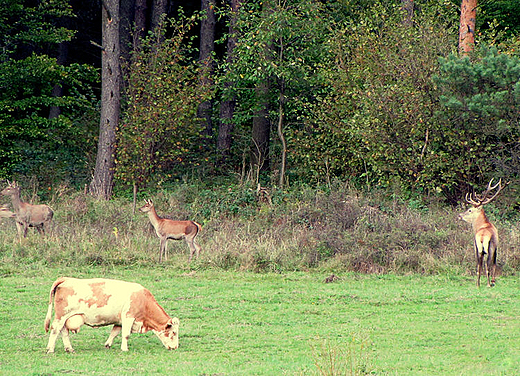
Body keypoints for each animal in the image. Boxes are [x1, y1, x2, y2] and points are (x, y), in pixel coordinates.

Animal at [43, 276, 181, 352]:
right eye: (174, 332)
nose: (175, 347)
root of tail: (66, 279)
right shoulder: (128, 316)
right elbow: (126, 334)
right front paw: (124, 349)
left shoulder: (120, 320)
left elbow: (114, 332)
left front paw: (108, 345)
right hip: (61, 316)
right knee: (55, 330)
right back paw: (50, 349)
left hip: (66, 318)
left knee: (63, 331)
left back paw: (69, 348)